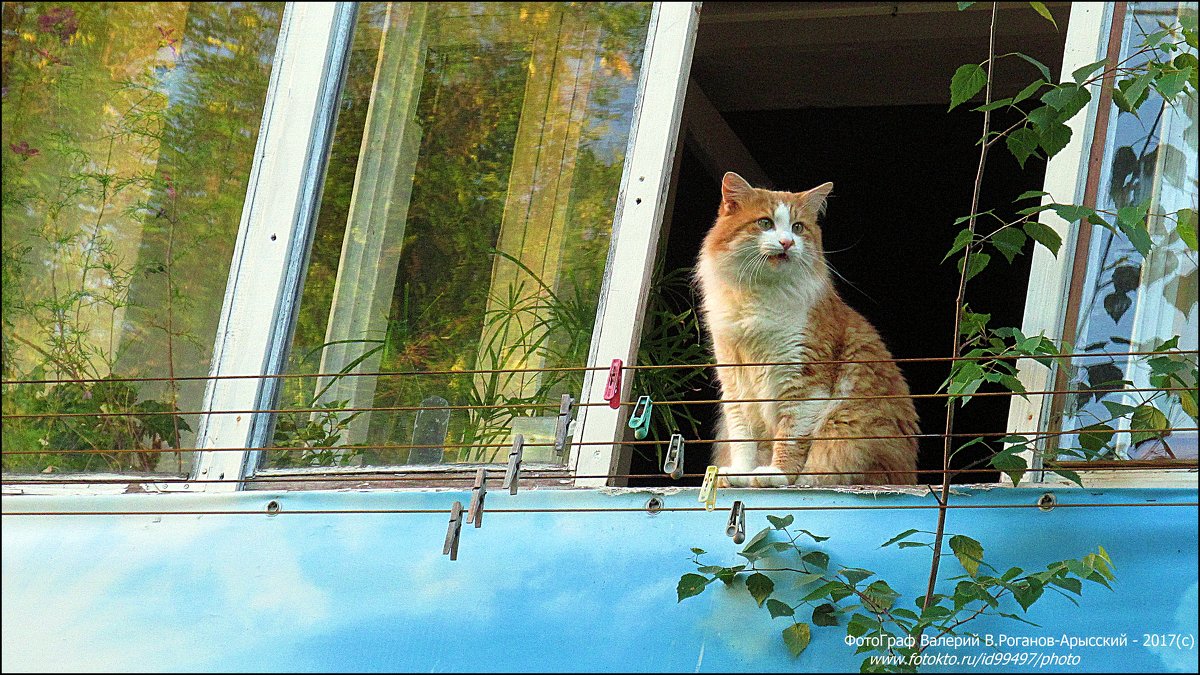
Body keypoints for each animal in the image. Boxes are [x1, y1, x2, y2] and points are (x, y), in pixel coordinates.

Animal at [696, 168, 916, 482]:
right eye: (765, 223)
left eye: (798, 227)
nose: (787, 242)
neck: (759, 297)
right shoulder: (735, 381)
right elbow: (743, 437)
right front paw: (740, 473)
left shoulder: (803, 380)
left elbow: (790, 436)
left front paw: (776, 474)